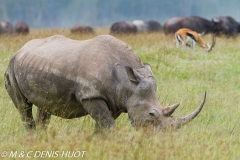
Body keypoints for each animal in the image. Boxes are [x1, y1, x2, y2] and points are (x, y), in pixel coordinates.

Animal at [3, 34, 206, 131]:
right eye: (151, 114)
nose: (160, 139)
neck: (128, 82)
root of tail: (20, 50)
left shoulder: (116, 100)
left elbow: (103, 125)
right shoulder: (91, 96)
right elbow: (108, 125)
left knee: (44, 108)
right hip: (11, 68)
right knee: (23, 107)